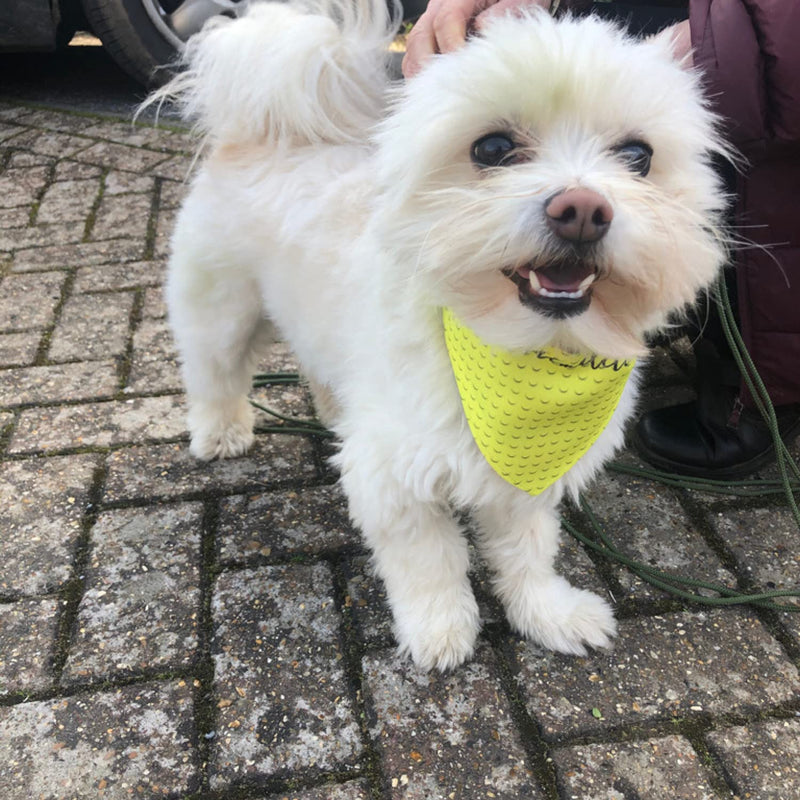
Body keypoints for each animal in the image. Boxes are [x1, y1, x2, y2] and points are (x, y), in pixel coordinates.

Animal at [159, 0, 728, 668]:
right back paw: (221, 432)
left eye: (638, 156)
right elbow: (429, 562)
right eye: (493, 147)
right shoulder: (394, 478)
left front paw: (546, 613)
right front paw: (439, 628)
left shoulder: (525, 474)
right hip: (220, 308)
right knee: (214, 373)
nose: (583, 210)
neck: (513, 346)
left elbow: (527, 551)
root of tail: (260, 132)